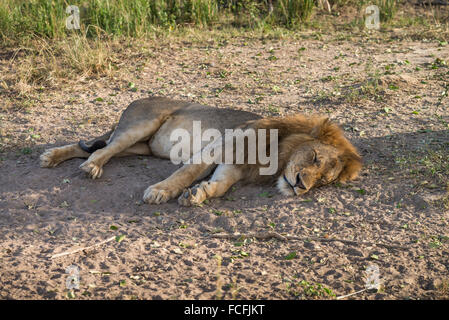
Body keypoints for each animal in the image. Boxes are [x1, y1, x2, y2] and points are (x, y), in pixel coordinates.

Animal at [40, 96, 362, 206]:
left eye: (324, 181)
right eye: (315, 157)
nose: (301, 187)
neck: (276, 155)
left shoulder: (234, 167)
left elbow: (220, 186)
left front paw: (198, 194)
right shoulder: (216, 148)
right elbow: (186, 172)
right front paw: (160, 192)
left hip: (140, 147)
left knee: (94, 147)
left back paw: (53, 157)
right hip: (140, 126)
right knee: (102, 150)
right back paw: (89, 167)